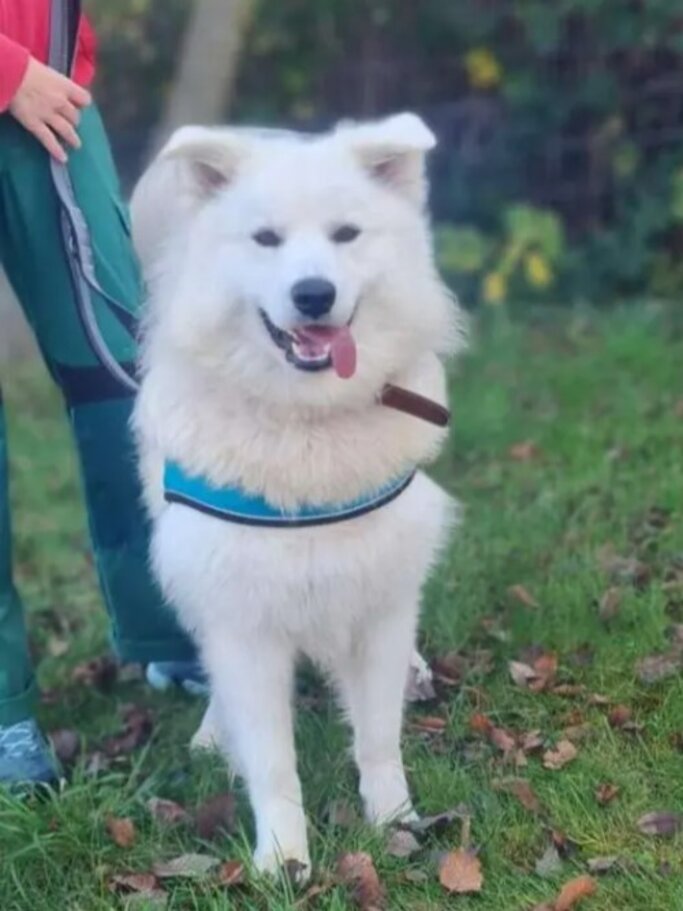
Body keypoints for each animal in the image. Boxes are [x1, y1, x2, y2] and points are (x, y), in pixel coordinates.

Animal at [131, 112, 468, 876]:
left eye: (346, 234)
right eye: (265, 239)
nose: (313, 294)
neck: (306, 425)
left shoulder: (377, 602)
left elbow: (378, 737)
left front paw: (396, 823)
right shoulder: (244, 621)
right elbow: (273, 762)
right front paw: (284, 862)